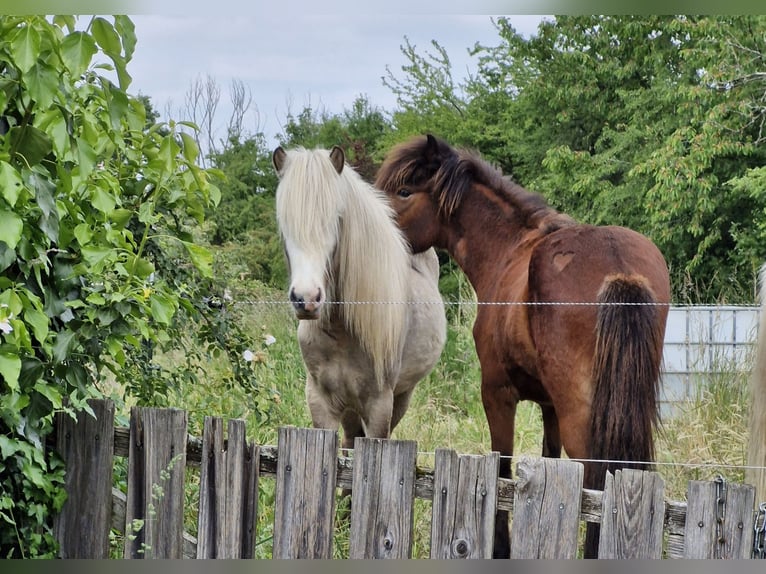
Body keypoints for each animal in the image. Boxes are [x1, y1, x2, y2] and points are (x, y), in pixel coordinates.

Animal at [272, 144, 447, 453]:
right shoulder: (320, 402)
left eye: (336, 219)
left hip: (401, 396)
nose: (307, 298)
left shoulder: (379, 405)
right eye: (284, 224)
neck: (341, 332)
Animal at [374, 134, 670, 558]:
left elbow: (502, 471)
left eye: (403, 191)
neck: (509, 250)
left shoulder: (497, 393)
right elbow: (551, 464)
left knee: (598, 483)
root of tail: (620, 267)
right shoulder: (550, 407)